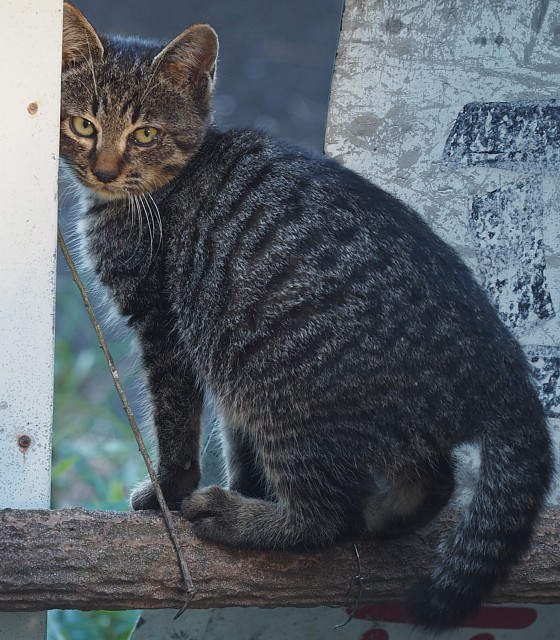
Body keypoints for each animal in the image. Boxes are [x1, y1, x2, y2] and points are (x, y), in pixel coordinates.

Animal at [60, 1, 552, 632]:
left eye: (144, 134)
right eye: (83, 125)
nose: (103, 169)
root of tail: (502, 364)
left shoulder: (168, 331)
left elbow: (175, 425)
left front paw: (171, 490)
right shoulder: (212, 347)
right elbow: (236, 442)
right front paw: (247, 485)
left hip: (283, 391)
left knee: (324, 518)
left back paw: (238, 518)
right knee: (431, 482)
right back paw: (376, 515)